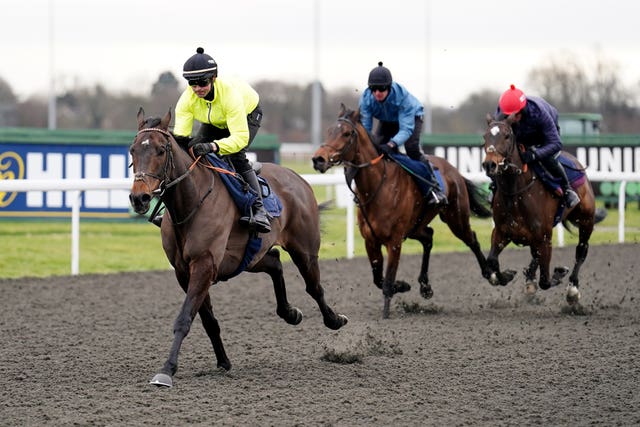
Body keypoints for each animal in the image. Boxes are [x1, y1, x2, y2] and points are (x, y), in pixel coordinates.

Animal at [128, 108, 348, 388]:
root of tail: (298, 178)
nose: (139, 198)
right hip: (248, 256)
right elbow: (208, 321)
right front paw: (223, 362)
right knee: (275, 262)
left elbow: (184, 318)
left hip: (304, 249)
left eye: (160, 150)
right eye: (133, 150)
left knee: (314, 287)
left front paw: (166, 370)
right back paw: (289, 313)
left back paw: (334, 320)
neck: (190, 203)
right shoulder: (184, 271)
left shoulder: (204, 264)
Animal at [312, 105, 492, 320]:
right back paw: (425, 286)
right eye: (329, 130)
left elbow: (388, 279)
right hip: (416, 225)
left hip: (455, 217)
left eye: (347, 133)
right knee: (429, 237)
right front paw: (403, 285)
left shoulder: (395, 241)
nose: (318, 159)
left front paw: (386, 313)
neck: (377, 187)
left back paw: (494, 274)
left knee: (472, 239)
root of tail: (454, 170)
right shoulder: (371, 240)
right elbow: (378, 279)